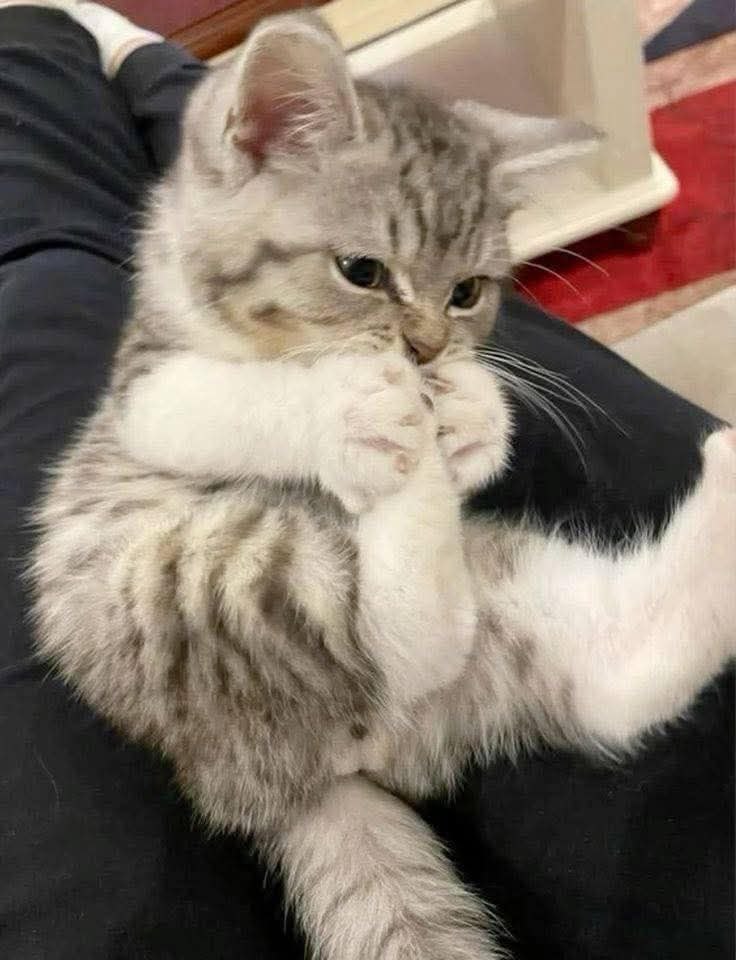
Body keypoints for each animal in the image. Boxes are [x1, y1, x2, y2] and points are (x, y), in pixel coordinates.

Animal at [30, 12, 736, 960]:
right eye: (362, 271)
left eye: (468, 291)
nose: (428, 350)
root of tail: (300, 779)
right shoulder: (144, 394)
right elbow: (226, 398)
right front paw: (356, 409)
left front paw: (475, 416)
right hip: (202, 584)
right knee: (398, 638)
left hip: (503, 618)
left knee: (612, 676)